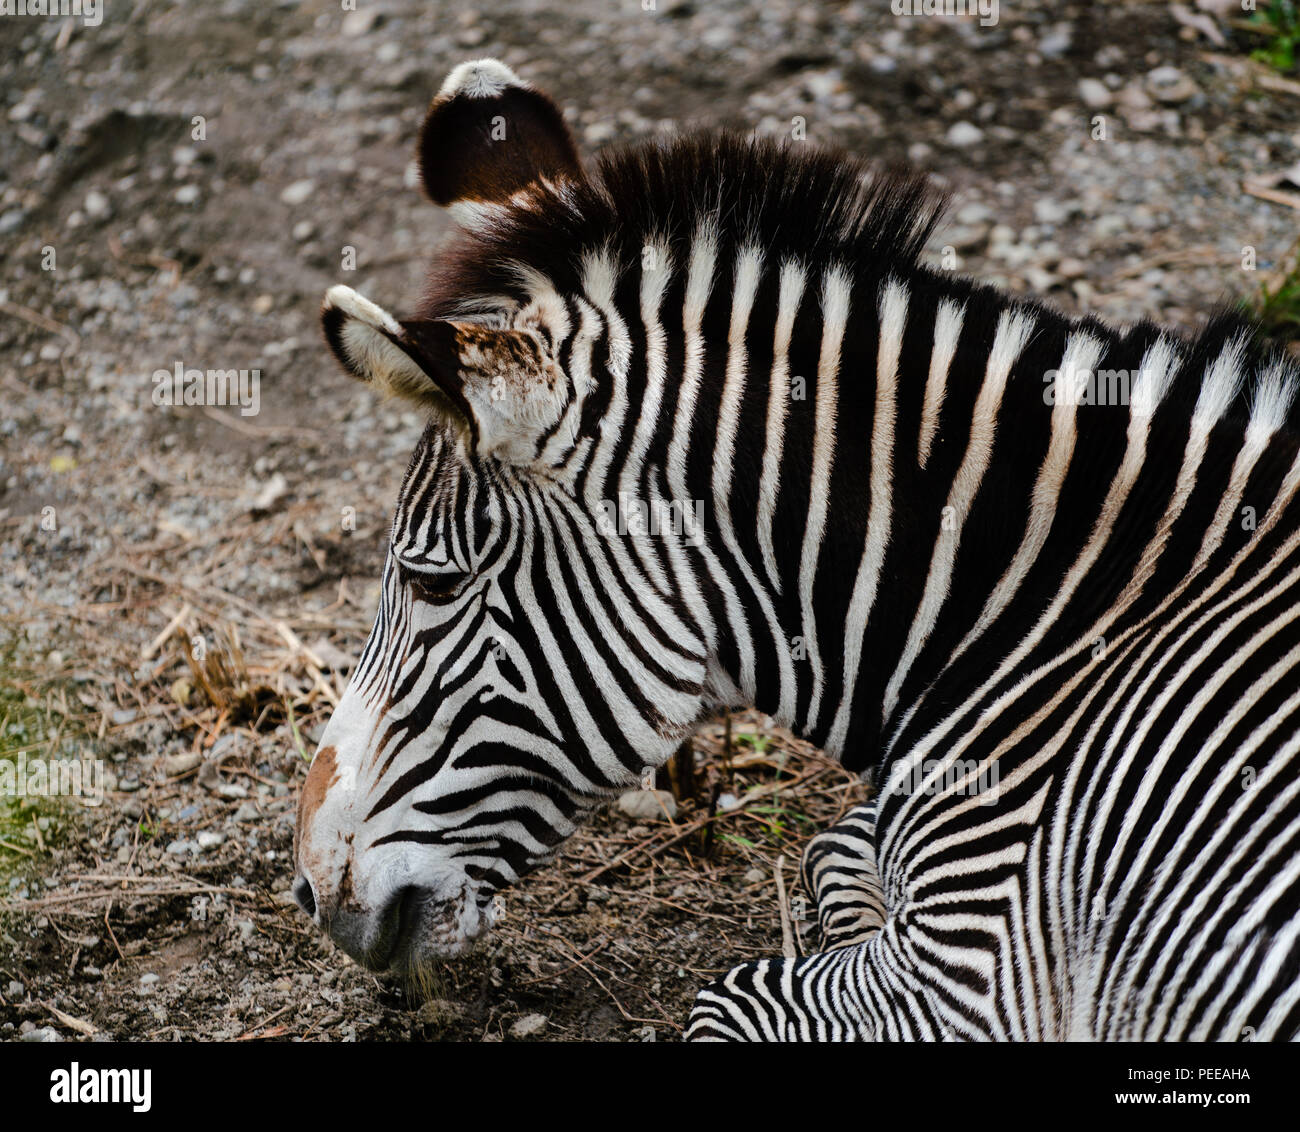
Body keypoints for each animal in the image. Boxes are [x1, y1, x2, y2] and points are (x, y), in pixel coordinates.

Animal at [293, 57, 1300, 1040]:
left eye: (432, 582)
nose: (307, 890)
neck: (1049, 613)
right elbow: (834, 846)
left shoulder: (978, 972)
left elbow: (729, 998)